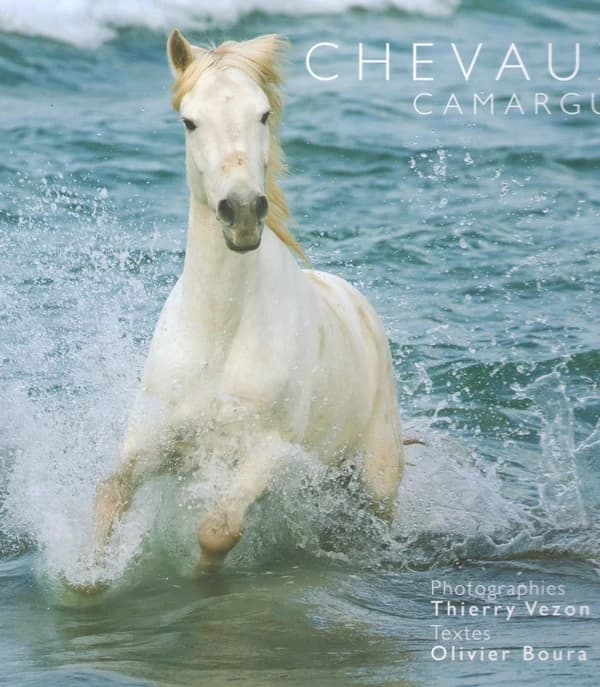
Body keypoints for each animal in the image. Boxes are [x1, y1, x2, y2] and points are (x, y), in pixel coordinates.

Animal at [93, 30, 406, 571]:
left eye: (263, 113)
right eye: (189, 121)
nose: (240, 211)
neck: (220, 335)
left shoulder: (270, 453)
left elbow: (219, 530)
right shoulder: (152, 439)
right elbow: (107, 497)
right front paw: (82, 580)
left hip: (377, 478)